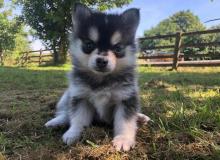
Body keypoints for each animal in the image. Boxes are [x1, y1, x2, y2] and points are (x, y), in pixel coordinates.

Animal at [45, 3, 150, 151]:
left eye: (118, 48)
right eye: (89, 44)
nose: (101, 61)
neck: (102, 80)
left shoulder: (126, 98)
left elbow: (125, 122)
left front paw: (123, 139)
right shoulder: (80, 97)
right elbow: (78, 118)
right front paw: (73, 133)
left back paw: (140, 117)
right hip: (68, 95)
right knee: (66, 112)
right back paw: (56, 122)